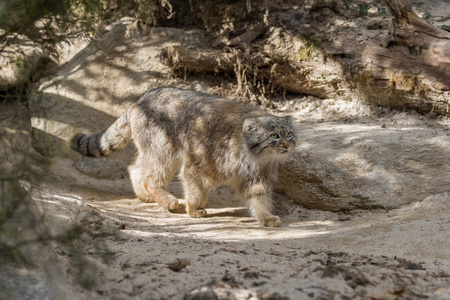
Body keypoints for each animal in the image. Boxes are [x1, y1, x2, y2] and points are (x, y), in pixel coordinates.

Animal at [71, 88, 296, 226]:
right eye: (274, 136)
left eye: (289, 134)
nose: (288, 145)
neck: (252, 157)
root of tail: (139, 99)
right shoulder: (197, 165)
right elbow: (196, 188)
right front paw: (195, 209)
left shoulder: (257, 179)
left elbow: (260, 200)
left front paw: (266, 218)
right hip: (164, 151)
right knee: (151, 176)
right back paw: (167, 200)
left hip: (155, 151)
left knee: (135, 168)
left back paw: (144, 196)